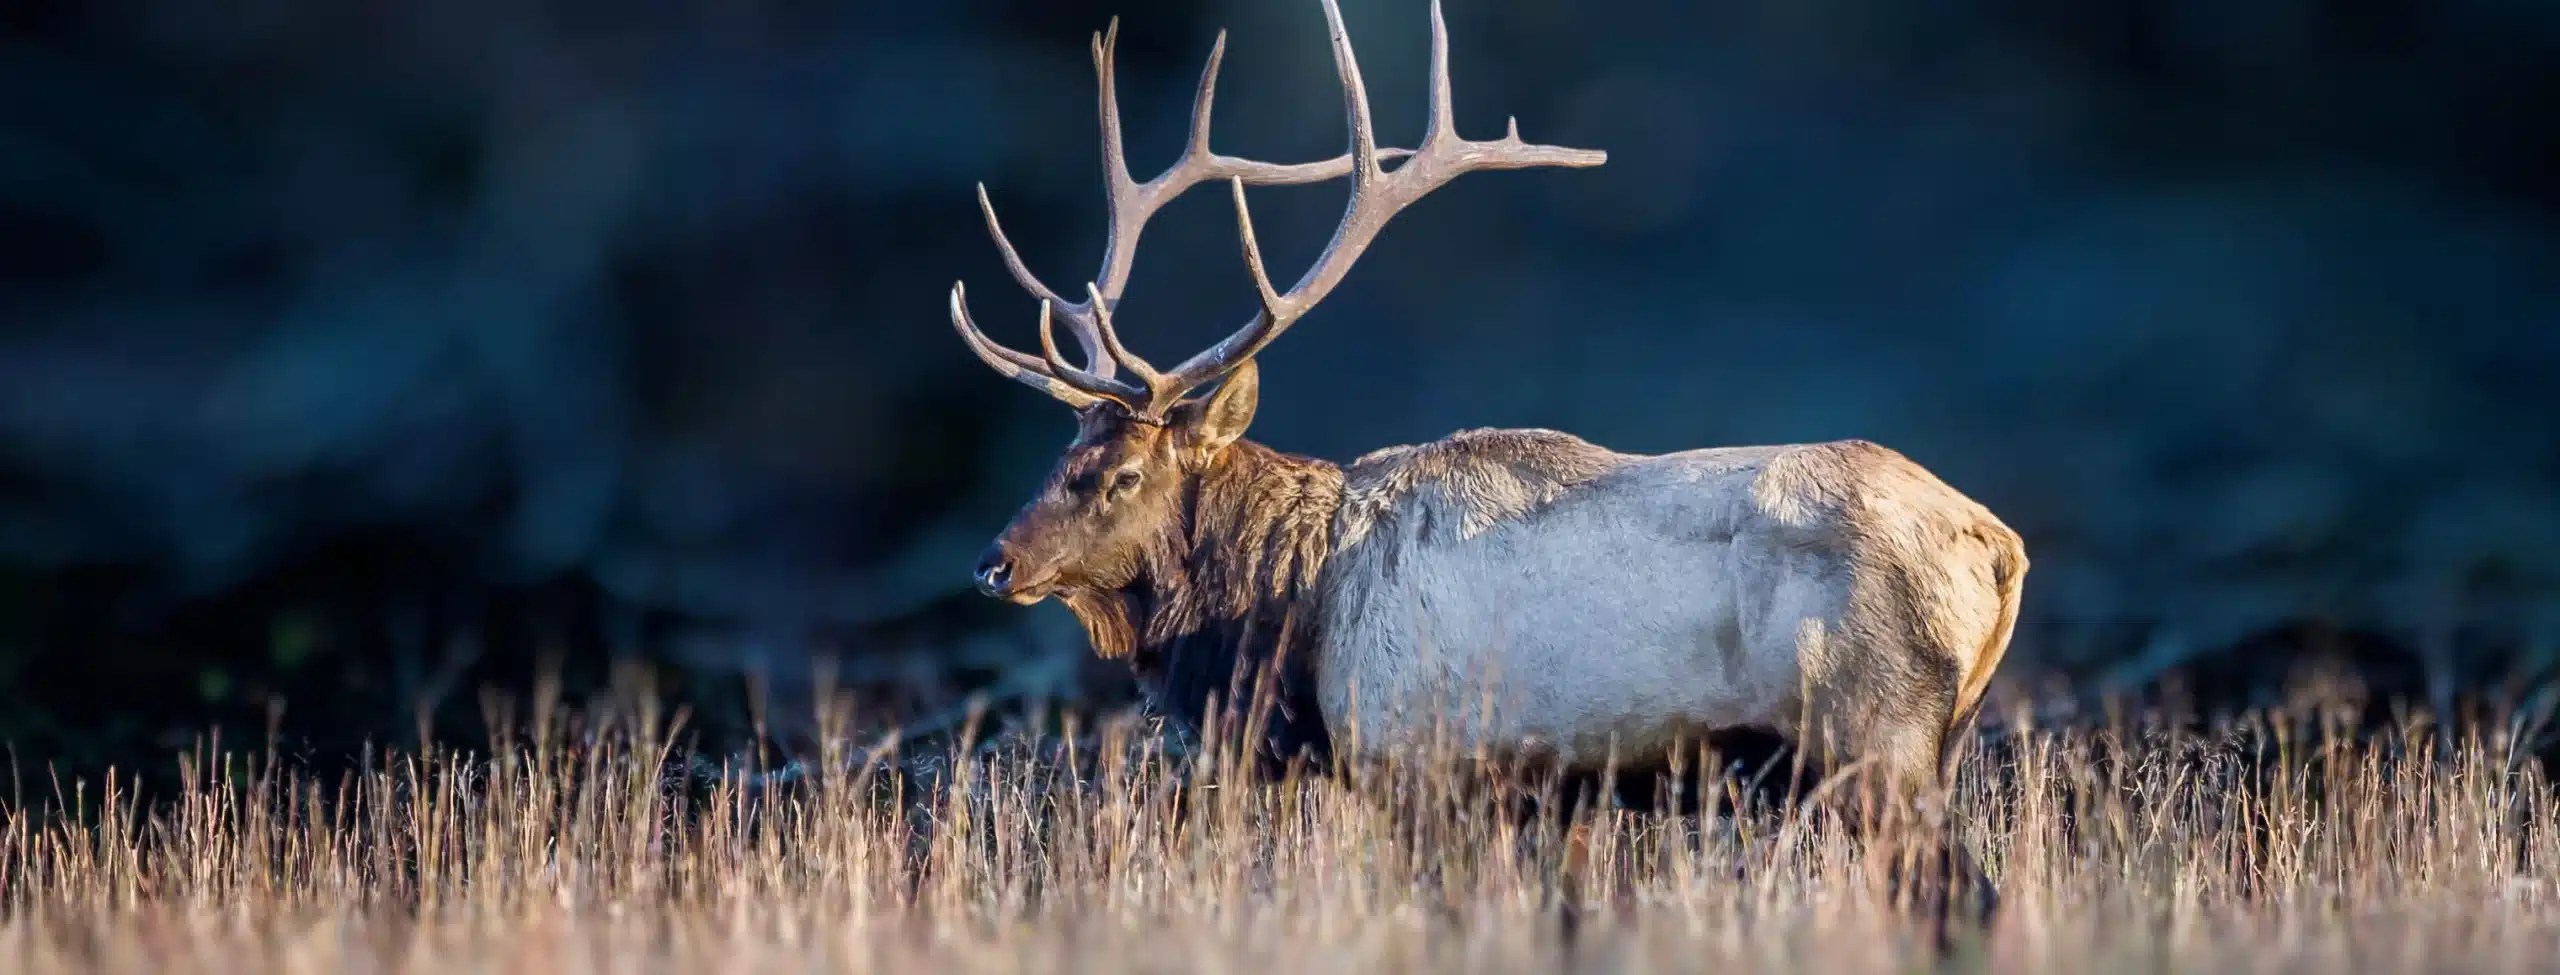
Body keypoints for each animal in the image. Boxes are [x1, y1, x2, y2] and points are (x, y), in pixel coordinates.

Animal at [945, 0, 2027, 940]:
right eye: (1065, 453)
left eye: (1122, 474)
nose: (995, 562)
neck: (1292, 622)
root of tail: (1999, 546)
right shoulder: (1559, 797)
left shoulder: (1423, 767)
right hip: (1929, 746)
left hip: (1873, 740)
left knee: (1962, 896)